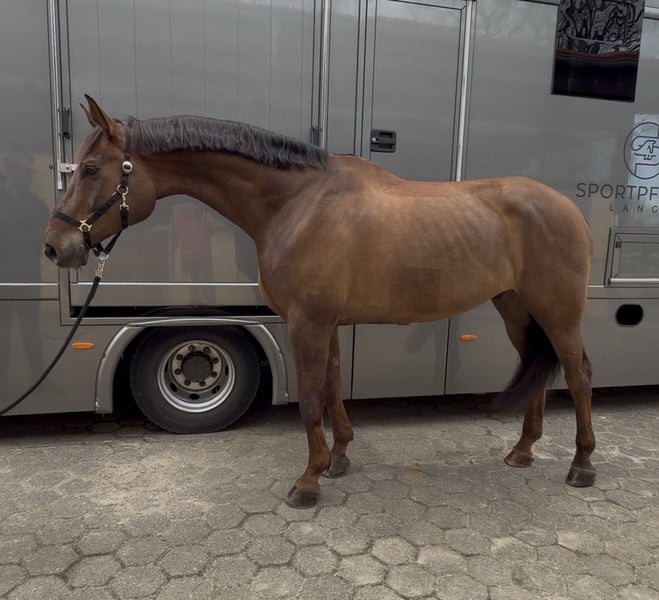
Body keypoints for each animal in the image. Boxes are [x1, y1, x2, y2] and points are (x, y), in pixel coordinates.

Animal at [43, 96, 595, 508]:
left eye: (90, 169)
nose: (55, 247)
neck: (298, 203)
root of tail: (568, 208)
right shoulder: (325, 323)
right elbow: (331, 387)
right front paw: (339, 460)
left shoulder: (306, 322)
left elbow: (310, 396)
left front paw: (307, 481)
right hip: (517, 308)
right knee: (538, 366)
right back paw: (522, 451)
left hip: (559, 312)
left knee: (578, 373)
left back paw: (582, 465)